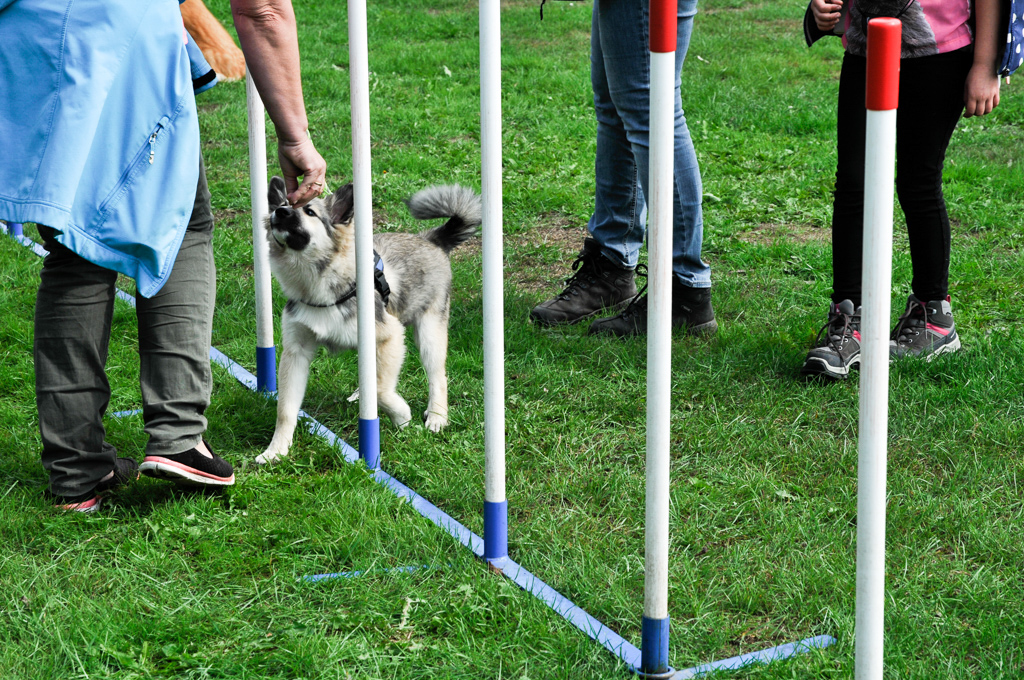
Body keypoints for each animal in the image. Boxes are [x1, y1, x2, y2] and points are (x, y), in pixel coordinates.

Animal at [256, 176, 481, 465]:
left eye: (309, 212)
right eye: (281, 205)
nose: (280, 212)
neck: (318, 283)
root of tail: (432, 239)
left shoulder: (390, 336)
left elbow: (383, 390)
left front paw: (402, 416)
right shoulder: (296, 353)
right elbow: (285, 408)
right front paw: (276, 450)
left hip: (429, 334)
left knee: (437, 377)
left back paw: (437, 416)